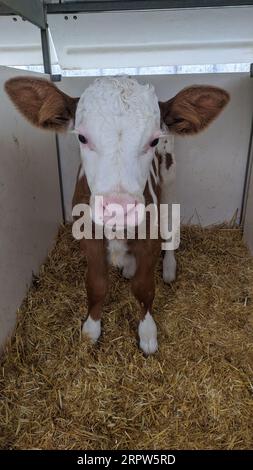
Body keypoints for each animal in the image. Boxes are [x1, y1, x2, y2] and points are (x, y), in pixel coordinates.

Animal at [4, 75, 229, 354]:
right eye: (82, 137)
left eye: (154, 141)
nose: (118, 207)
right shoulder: (88, 236)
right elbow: (96, 285)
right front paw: (91, 330)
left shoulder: (149, 237)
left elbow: (144, 288)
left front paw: (147, 333)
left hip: (169, 179)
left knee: (170, 229)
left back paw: (168, 267)